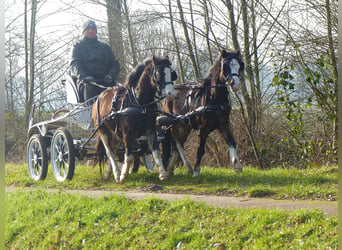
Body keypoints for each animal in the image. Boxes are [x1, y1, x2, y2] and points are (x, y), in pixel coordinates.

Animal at [162, 49, 244, 177]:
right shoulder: (204, 128)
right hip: (174, 124)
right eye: (225, 66)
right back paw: (188, 167)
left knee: (178, 144)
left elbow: (232, 142)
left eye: (239, 65)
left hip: (185, 125)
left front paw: (237, 166)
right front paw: (196, 170)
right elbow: (201, 149)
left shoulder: (224, 124)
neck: (215, 98)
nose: (235, 84)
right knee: (177, 143)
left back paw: (171, 168)